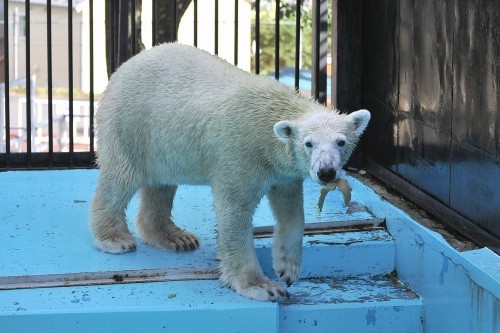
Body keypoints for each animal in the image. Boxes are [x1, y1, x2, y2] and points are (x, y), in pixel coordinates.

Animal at [91, 42, 372, 300]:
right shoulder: (240, 155)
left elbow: (290, 210)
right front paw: (263, 286)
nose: (326, 172)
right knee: (120, 177)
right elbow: (234, 213)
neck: (266, 123)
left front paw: (288, 268)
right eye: (309, 143)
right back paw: (114, 238)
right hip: (131, 123)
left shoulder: (282, 170)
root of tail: (125, 67)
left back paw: (176, 238)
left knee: (161, 184)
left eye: (341, 142)